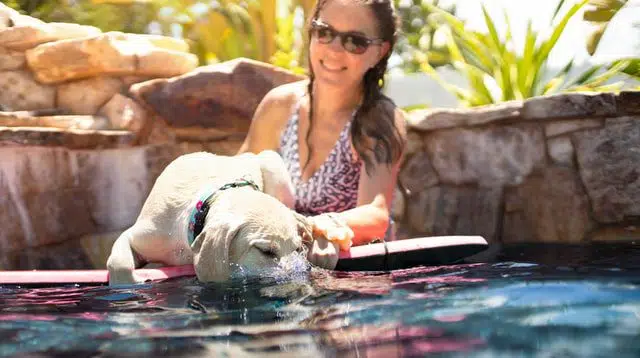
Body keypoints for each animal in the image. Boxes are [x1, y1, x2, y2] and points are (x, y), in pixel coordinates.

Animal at [107, 150, 328, 286]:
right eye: (265, 251)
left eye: (297, 249)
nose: (301, 276)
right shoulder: (145, 233)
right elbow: (119, 262)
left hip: (272, 163)